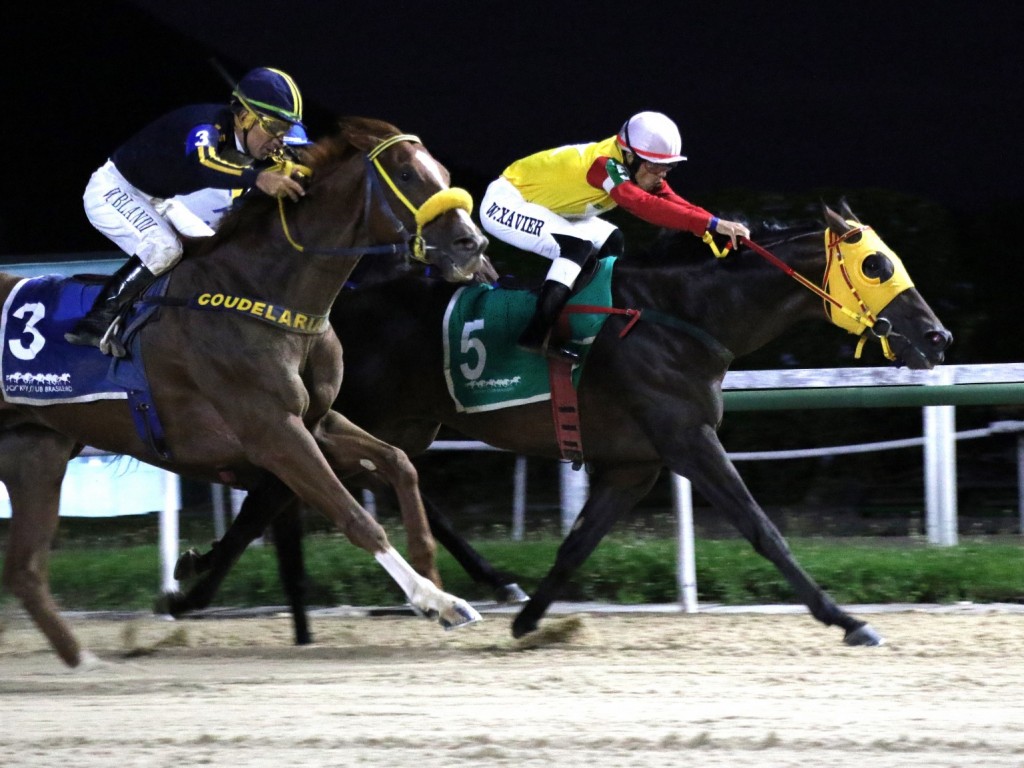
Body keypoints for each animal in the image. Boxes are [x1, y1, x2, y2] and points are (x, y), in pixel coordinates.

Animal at [0, 115, 489, 667]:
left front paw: (438, 582)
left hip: (35, 452)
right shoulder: (273, 432)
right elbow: (354, 516)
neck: (263, 294)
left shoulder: (316, 421)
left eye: (442, 171)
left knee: (24, 570)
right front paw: (434, 600)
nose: (471, 245)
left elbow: (399, 464)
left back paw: (84, 662)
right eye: (406, 173)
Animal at [172, 201, 946, 647]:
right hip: (338, 412)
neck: (681, 315)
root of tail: (331, 306)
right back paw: (194, 584)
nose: (937, 338)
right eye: (878, 264)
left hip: (408, 419)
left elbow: (578, 542)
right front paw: (846, 620)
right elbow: (763, 529)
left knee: (357, 481)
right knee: (280, 491)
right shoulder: (687, 440)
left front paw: (529, 620)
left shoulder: (637, 463)